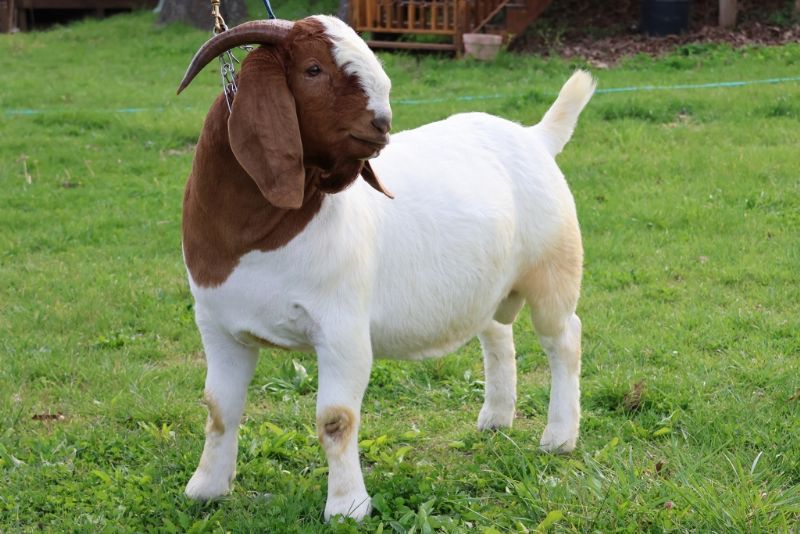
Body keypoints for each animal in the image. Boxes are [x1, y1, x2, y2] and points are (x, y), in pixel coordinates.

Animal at [176, 15, 595, 521]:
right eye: (313, 69)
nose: (383, 123)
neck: (258, 238)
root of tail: (535, 137)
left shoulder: (342, 330)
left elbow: (335, 419)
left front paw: (347, 507)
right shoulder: (218, 325)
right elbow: (219, 408)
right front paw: (206, 488)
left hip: (553, 271)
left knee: (564, 340)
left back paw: (559, 437)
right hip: (489, 284)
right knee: (497, 335)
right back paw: (495, 418)